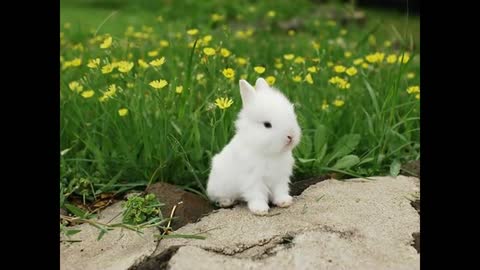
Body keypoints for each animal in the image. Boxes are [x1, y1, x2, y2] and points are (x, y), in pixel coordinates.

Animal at [205, 78, 300, 215]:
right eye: (267, 125)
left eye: (292, 115)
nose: (291, 136)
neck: (268, 153)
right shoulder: (253, 179)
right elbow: (257, 194)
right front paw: (260, 210)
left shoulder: (280, 177)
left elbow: (280, 190)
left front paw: (284, 202)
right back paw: (226, 202)